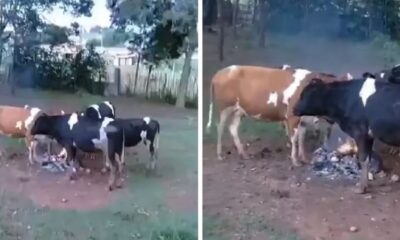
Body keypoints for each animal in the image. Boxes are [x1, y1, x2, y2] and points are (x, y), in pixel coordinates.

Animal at [205, 65, 352, 167]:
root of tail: (220, 72)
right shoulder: (292, 116)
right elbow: (294, 138)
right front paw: (295, 161)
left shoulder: (303, 120)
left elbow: (301, 138)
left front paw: (303, 158)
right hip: (225, 107)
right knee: (220, 126)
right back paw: (220, 154)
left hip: (239, 110)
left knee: (233, 128)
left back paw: (244, 154)